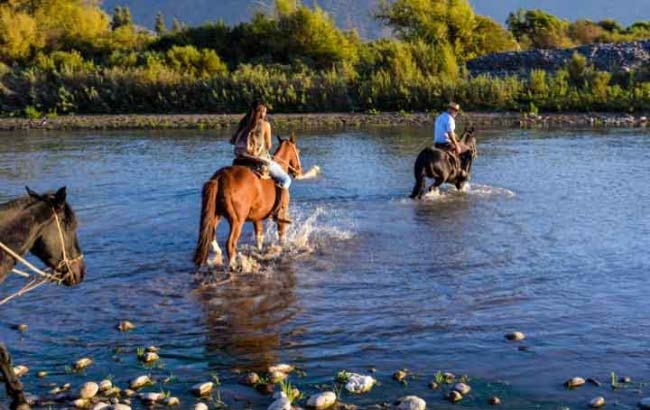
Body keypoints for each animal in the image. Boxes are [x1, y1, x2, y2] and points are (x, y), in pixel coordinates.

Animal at [194, 135, 302, 270]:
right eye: (298, 151)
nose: (298, 170)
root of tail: (220, 178)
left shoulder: (257, 218)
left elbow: (259, 238)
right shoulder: (282, 215)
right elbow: (281, 236)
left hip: (216, 215)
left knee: (211, 234)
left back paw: (218, 254)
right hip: (237, 221)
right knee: (230, 243)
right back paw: (233, 265)